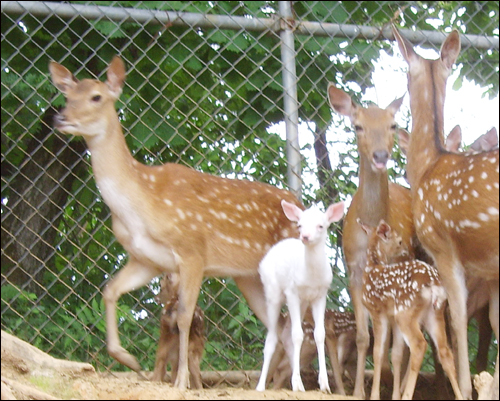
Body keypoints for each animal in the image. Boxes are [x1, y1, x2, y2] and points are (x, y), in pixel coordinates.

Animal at [49, 55, 304, 388]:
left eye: (96, 96)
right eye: (67, 96)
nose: (60, 118)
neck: (141, 203)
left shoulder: (193, 251)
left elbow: (184, 316)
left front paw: (181, 380)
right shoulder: (146, 260)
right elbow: (110, 290)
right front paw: (128, 359)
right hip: (249, 278)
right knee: (280, 325)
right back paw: (272, 386)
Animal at [258, 198, 344, 392]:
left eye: (321, 225)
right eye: (299, 225)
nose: (305, 236)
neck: (311, 277)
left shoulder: (321, 295)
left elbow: (320, 334)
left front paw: (324, 385)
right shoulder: (292, 292)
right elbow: (298, 335)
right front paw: (299, 384)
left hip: (303, 303)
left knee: (286, 336)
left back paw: (299, 383)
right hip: (273, 293)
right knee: (272, 338)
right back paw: (261, 386)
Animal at [328, 84, 418, 396]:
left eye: (393, 125)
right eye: (357, 126)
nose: (380, 155)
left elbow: (396, 348)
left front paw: (393, 391)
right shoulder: (353, 271)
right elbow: (362, 337)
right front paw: (357, 392)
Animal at [360, 220, 460, 398]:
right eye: (399, 241)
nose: (406, 249)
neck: (372, 267)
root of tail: (434, 283)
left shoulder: (376, 311)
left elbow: (378, 352)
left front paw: (375, 396)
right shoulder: (390, 317)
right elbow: (396, 355)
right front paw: (394, 397)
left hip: (405, 312)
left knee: (419, 345)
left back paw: (407, 395)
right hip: (434, 313)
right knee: (445, 352)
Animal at [394, 26, 500, 398]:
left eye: (404, 72)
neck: (429, 165)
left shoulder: (444, 249)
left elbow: (456, 322)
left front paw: (467, 390)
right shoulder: (490, 271)